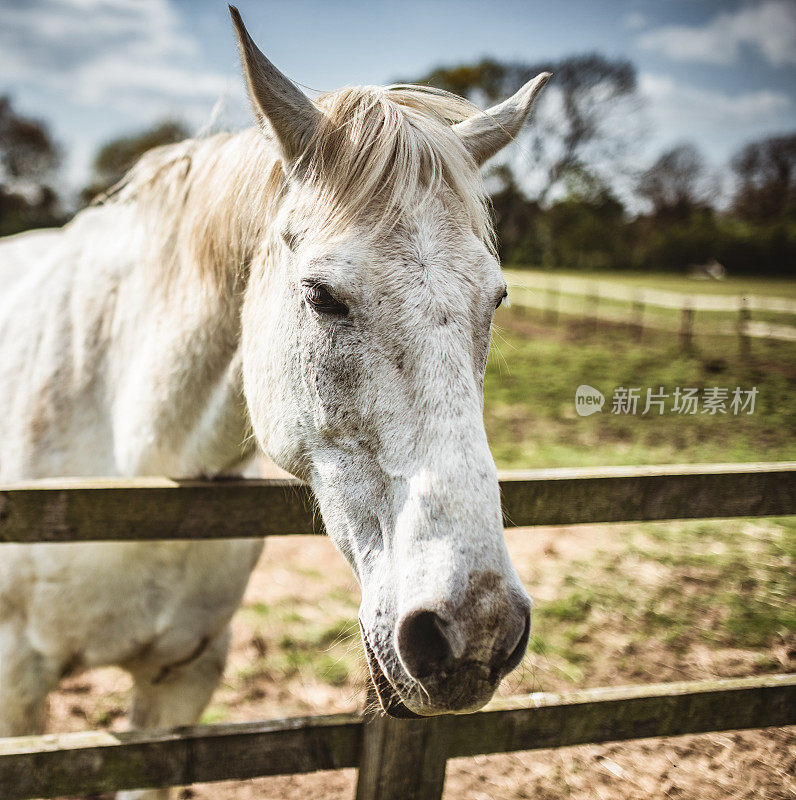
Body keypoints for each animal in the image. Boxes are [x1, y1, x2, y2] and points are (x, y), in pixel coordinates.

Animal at [0, 7, 548, 800]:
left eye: (496, 299)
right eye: (321, 295)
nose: (473, 633)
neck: (134, 467)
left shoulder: (184, 679)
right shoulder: (18, 691)